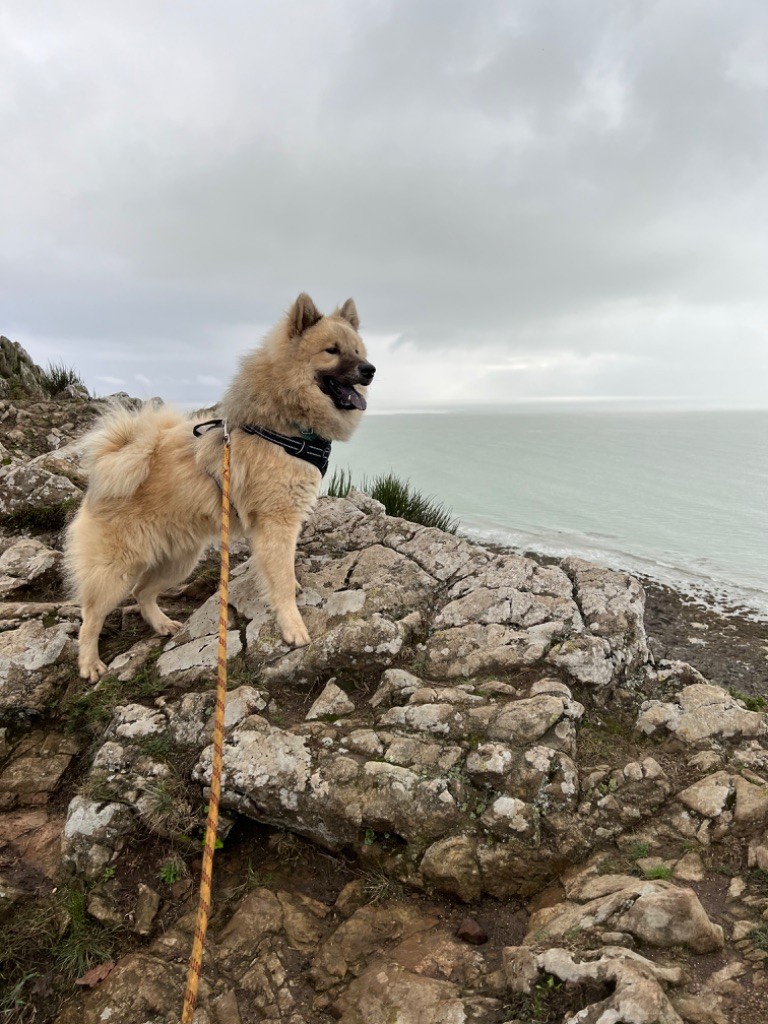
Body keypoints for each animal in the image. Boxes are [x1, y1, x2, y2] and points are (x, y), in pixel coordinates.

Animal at [66, 294, 376, 679]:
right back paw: (90, 663)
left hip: (178, 561)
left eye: (357, 350)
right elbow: (281, 579)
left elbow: (281, 569)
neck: (285, 423)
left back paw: (162, 624)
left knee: (143, 592)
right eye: (331, 351)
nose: (370, 369)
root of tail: (108, 466)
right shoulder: (277, 521)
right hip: (118, 569)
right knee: (91, 615)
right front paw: (292, 627)